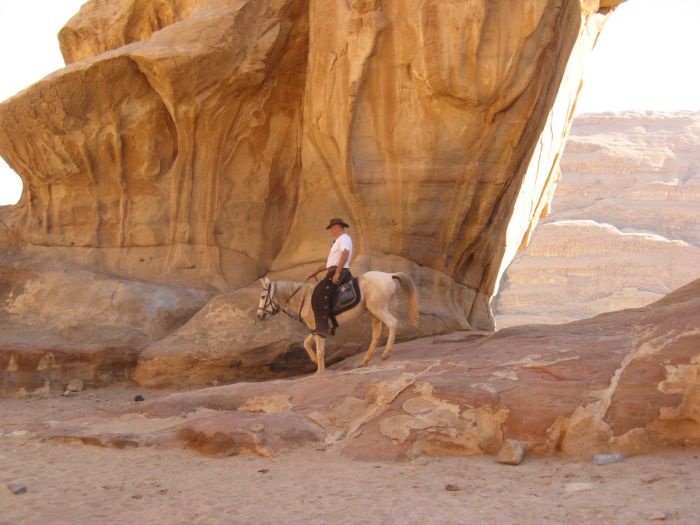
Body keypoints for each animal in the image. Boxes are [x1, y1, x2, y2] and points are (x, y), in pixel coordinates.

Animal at [260, 270, 418, 372]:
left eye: (262, 296)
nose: (259, 315)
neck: (305, 298)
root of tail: (389, 276)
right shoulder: (317, 328)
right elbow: (306, 343)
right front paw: (316, 362)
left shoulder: (318, 327)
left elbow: (320, 350)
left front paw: (320, 371)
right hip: (374, 312)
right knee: (377, 334)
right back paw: (365, 361)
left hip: (378, 309)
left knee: (392, 323)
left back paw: (386, 353)